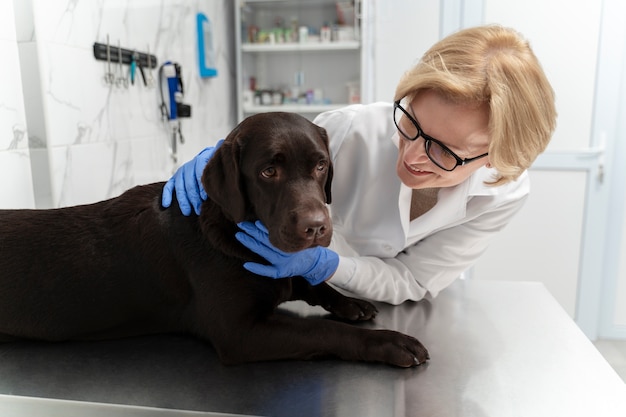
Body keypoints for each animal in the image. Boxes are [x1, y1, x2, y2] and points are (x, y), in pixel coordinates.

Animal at [0, 112, 428, 366]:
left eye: (321, 164)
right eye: (268, 171)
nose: (315, 227)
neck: (232, 230)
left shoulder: (282, 270)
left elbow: (309, 279)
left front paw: (350, 303)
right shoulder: (241, 333)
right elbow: (322, 330)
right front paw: (391, 343)